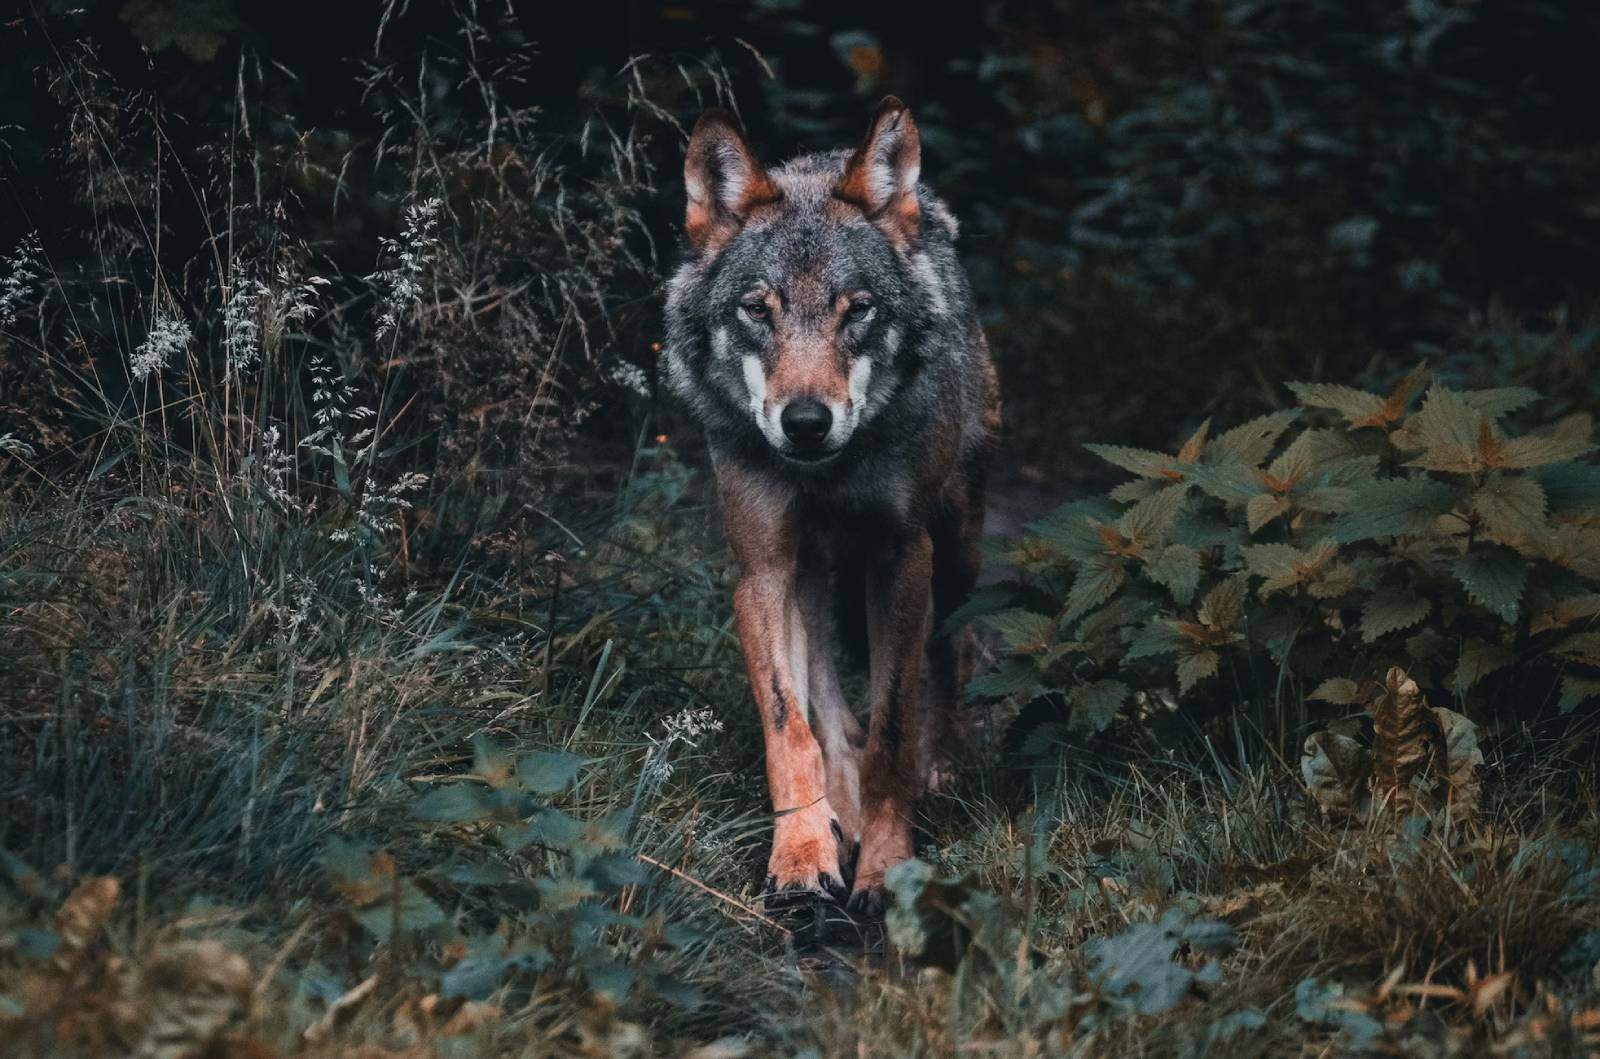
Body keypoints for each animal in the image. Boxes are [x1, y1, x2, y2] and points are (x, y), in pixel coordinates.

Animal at [662, 98, 1000, 913]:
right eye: (758, 310)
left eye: (859, 311)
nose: (807, 422)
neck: (827, 474)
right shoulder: (762, 571)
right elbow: (792, 728)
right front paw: (802, 853)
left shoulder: (902, 557)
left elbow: (891, 728)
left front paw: (886, 863)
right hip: (810, 576)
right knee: (826, 700)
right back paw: (838, 814)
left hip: (958, 550)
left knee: (952, 650)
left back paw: (939, 769)